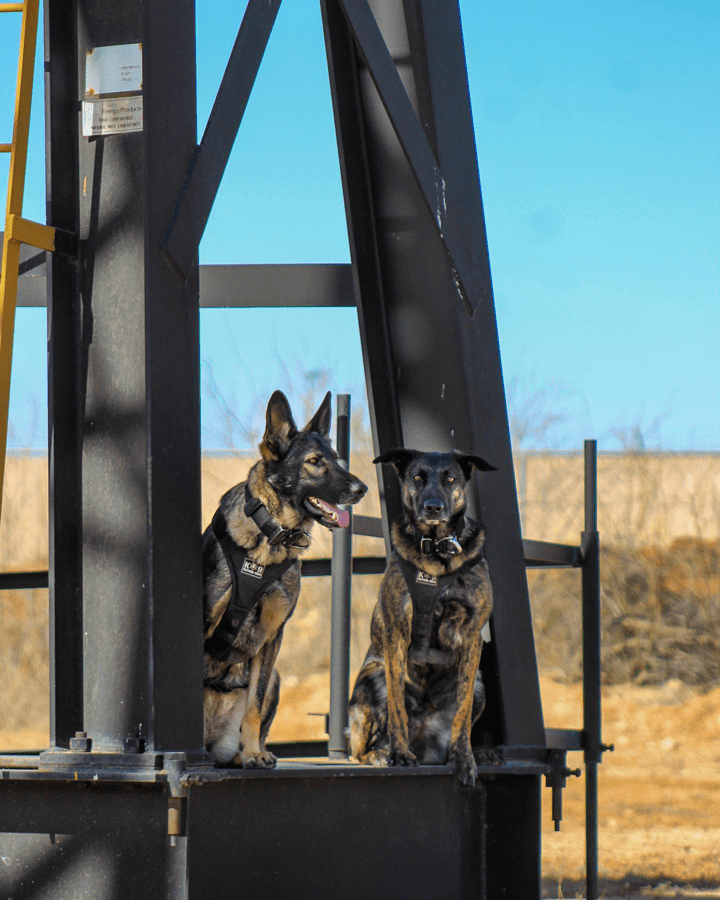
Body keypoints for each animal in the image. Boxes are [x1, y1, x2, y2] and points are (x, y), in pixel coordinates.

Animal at [205, 388, 368, 768]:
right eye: (314, 461)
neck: (270, 537)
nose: (362, 488)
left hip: (277, 676)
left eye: (337, 458)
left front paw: (253, 752)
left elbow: (254, 705)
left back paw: (242, 753)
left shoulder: (271, 636)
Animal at [348, 446, 496, 784]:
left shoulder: (471, 637)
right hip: (372, 677)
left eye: (450, 478)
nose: (433, 507)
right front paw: (400, 755)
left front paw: (465, 758)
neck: (436, 550)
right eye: (417, 477)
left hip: (481, 686)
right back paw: (381, 754)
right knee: (357, 751)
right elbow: (397, 707)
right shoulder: (397, 634)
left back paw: (480, 753)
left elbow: (462, 714)